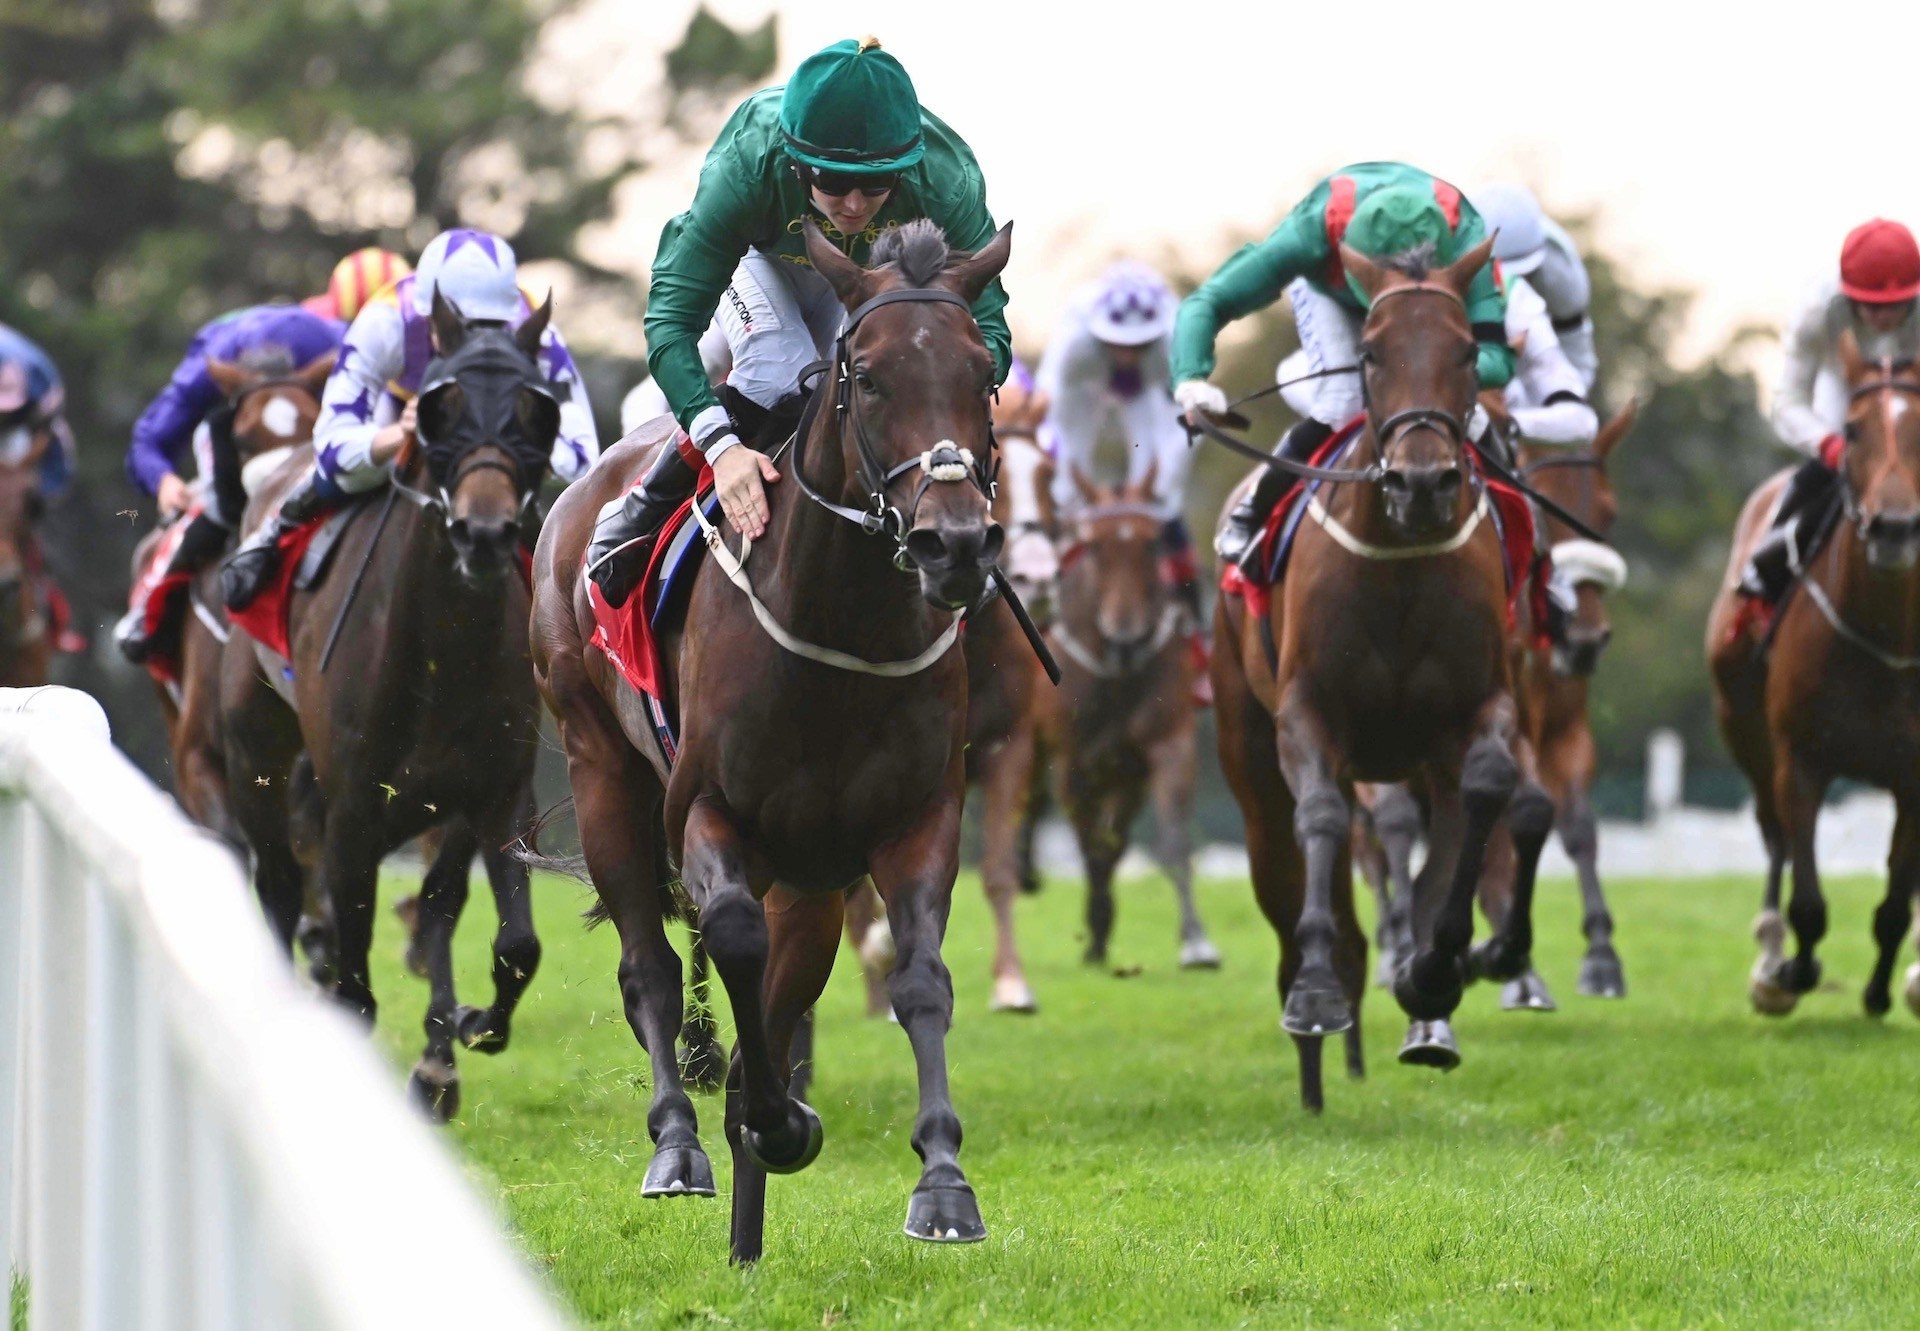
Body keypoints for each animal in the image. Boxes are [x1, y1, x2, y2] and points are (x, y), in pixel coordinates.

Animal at [226, 295, 556, 1113]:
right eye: (443, 406)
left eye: (535, 410)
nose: (483, 532)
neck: (443, 654)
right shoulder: (353, 805)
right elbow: (352, 975)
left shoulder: (495, 790)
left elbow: (508, 940)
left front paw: (459, 1038)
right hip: (255, 757)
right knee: (279, 883)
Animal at [533, 215, 1021, 1259]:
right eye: (868, 376)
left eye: (982, 376)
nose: (955, 544)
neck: (839, 631)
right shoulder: (708, 809)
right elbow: (729, 935)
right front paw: (762, 1117)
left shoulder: (911, 818)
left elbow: (918, 980)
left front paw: (943, 1183)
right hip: (601, 768)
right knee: (651, 962)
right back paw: (680, 1142)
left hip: (811, 872)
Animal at [1052, 464, 1213, 964]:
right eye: (1094, 546)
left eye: (1152, 544)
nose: (1125, 637)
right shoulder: (1073, 759)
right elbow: (1088, 843)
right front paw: (1096, 928)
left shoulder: (1165, 744)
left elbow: (1173, 839)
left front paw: (1196, 939)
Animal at [1213, 239, 1559, 1113]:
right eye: (1370, 354)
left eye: (1468, 351)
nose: (1424, 481)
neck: (1400, 564)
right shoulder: (1308, 712)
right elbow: (1323, 817)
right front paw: (1316, 990)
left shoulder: (1481, 705)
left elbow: (1486, 796)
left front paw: (1434, 974)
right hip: (1247, 751)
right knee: (1284, 853)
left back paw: (1423, 1007)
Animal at [1720, 338, 1920, 1014]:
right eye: (1853, 430)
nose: (1894, 527)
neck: (1886, 637)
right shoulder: (1800, 759)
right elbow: (1807, 899)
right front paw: (1793, 972)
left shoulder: (1913, 778)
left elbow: (1894, 907)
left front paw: (1882, 991)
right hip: (1745, 733)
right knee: (1774, 838)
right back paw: (1769, 959)